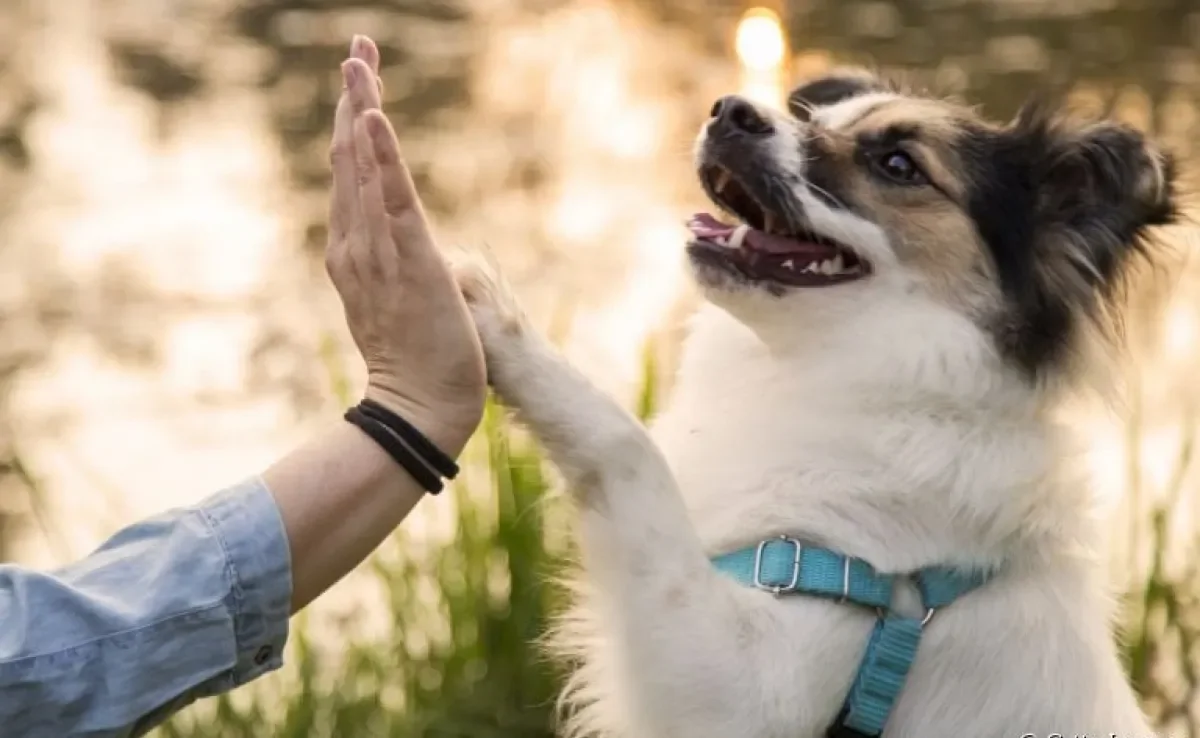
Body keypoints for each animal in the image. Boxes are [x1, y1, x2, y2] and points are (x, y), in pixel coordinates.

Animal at [453, 69, 1176, 738]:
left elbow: (626, 449)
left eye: (898, 165)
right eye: (817, 118)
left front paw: (498, 320)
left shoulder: (753, 685)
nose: (730, 112)